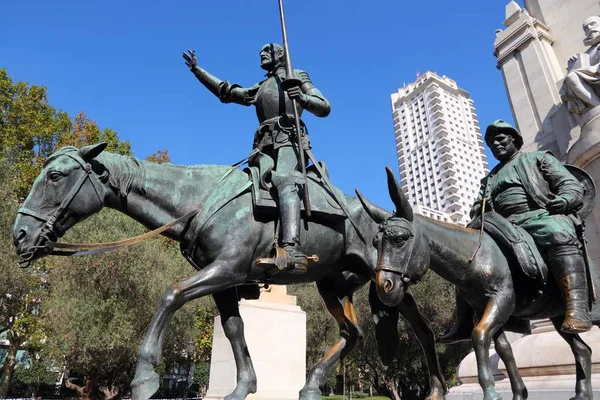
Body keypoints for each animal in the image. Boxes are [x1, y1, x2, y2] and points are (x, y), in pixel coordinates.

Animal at [14, 143, 448, 400]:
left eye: (56, 175)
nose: (20, 234)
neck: (197, 198)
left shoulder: (227, 268)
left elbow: (169, 295)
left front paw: (144, 377)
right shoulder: (224, 280)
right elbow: (234, 328)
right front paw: (244, 387)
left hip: (389, 282)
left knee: (422, 330)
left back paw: (437, 388)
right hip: (335, 283)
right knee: (353, 333)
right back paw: (310, 385)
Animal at [358, 167, 600, 400]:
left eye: (399, 239)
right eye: (375, 243)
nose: (384, 287)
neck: (479, 257)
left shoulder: (502, 300)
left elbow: (479, 335)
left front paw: (491, 393)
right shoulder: (484, 308)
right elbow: (503, 348)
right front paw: (518, 393)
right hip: (558, 317)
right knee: (583, 350)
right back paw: (582, 394)